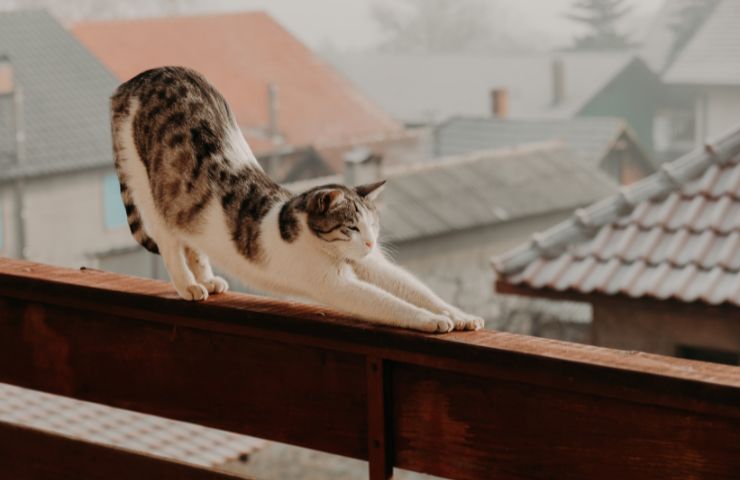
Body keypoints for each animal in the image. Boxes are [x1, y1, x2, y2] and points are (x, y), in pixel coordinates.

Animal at [107, 65, 482, 332]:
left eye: (373, 225)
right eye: (351, 227)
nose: (371, 243)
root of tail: (135, 81)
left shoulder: (374, 266)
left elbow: (416, 290)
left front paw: (458, 314)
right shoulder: (335, 285)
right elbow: (392, 304)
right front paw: (433, 320)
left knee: (192, 242)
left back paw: (207, 279)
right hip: (150, 190)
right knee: (170, 243)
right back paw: (188, 285)